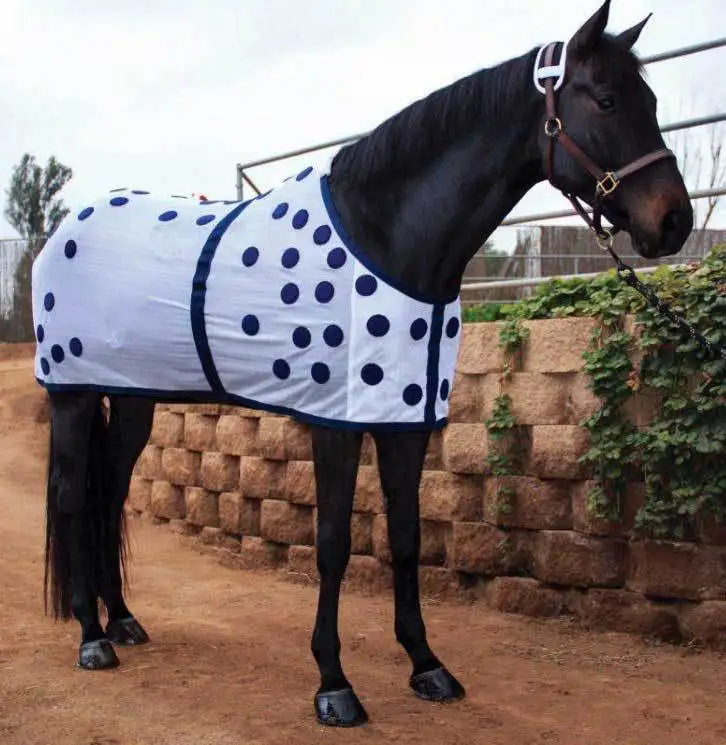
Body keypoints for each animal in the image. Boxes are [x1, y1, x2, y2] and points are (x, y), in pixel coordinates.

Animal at [33, 0, 693, 728]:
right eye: (605, 99)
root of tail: (63, 230)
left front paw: (427, 665)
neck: (387, 238)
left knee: (108, 492)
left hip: (132, 398)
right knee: (72, 496)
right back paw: (90, 638)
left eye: (651, 100)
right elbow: (332, 544)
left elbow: (406, 536)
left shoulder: (406, 423)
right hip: (71, 395)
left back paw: (121, 620)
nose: (675, 222)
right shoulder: (336, 423)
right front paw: (334, 684)